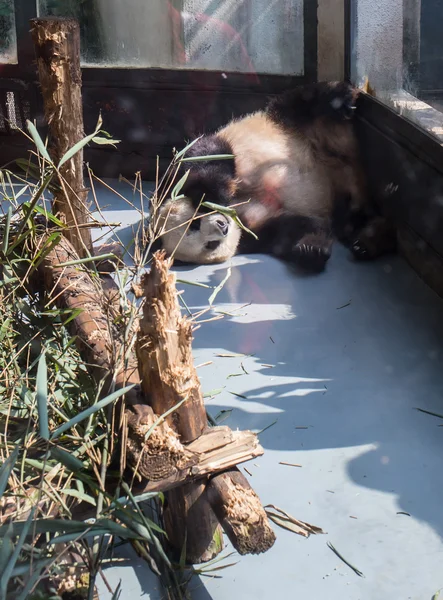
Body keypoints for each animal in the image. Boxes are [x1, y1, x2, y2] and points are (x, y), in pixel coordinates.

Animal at [153, 80, 396, 272]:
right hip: (343, 197)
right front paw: (311, 251)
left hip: (287, 124)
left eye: (196, 222)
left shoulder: (177, 178)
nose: (222, 226)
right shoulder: (252, 232)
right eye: (209, 245)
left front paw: (213, 195)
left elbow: (204, 157)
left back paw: (341, 98)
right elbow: (294, 228)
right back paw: (369, 241)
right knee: (354, 216)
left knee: (303, 103)